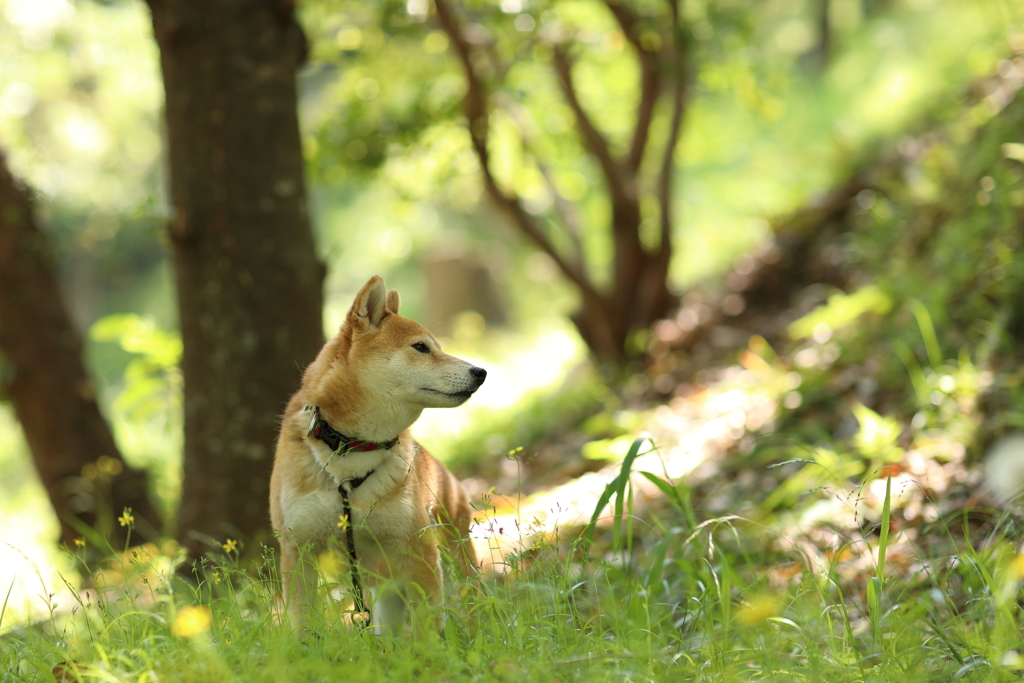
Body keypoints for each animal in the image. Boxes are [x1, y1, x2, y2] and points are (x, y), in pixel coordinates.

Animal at [268, 274, 483, 634]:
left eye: (438, 347)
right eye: (420, 347)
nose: (481, 372)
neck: (351, 450)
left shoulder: (418, 548)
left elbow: (427, 627)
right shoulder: (298, 550)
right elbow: (303, 622)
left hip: (456, 563)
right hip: (387, 595)